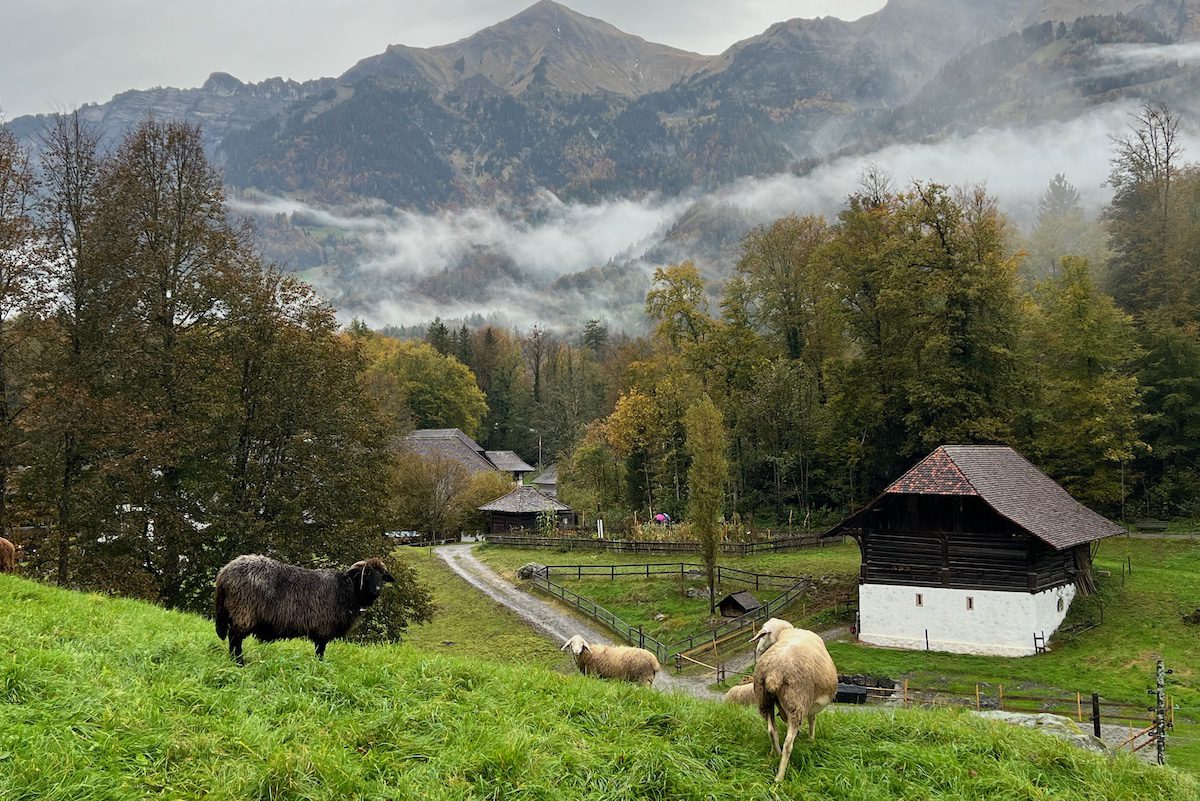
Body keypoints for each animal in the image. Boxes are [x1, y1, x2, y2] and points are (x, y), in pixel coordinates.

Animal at [210, 553, 388, 666]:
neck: (346, 590)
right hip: (243, 612)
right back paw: (239, 663)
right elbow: (320, 651)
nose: (377, 590)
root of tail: (225, 572)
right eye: (367, 574)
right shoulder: (323, 629)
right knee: (235, 638)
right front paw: (320, 667)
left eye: (382, 576)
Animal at [748, 618, 835, 781]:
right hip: (797, 703)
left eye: (763, 635)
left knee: (772, 731)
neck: (784, 633)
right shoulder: (811, 704)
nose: (757, 650)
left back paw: (776, 754)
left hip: (764, 700)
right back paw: (779, 777)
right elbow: (812, 720)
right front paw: (811, 740)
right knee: (788, 743)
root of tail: (775, 673)